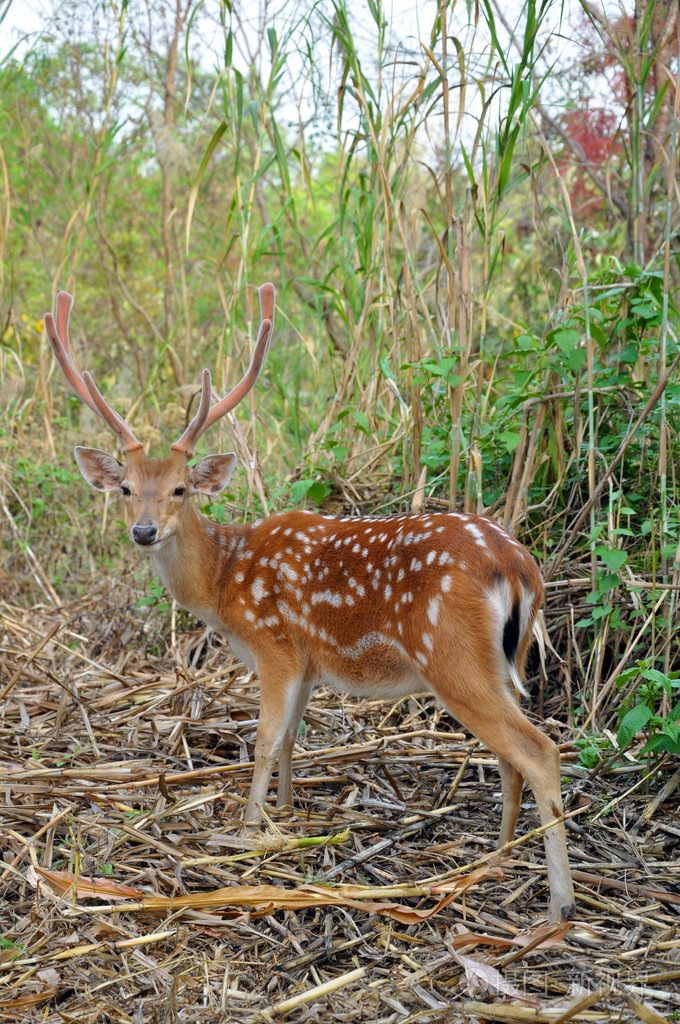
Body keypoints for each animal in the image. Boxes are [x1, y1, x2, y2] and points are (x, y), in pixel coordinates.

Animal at [45, 283, 575, 922]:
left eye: (181, 488)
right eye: (125, 488)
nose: (144, 531)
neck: (225, 582)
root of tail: (518, 566)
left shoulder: (275, 645)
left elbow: (264, 738)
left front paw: (249, 830)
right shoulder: (306, 662)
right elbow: (293, 737)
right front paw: (287, 810)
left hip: (450, 653)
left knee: (539, 749)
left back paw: (559, 906)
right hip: (507, 659)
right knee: (509, 756)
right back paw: (497, 855)